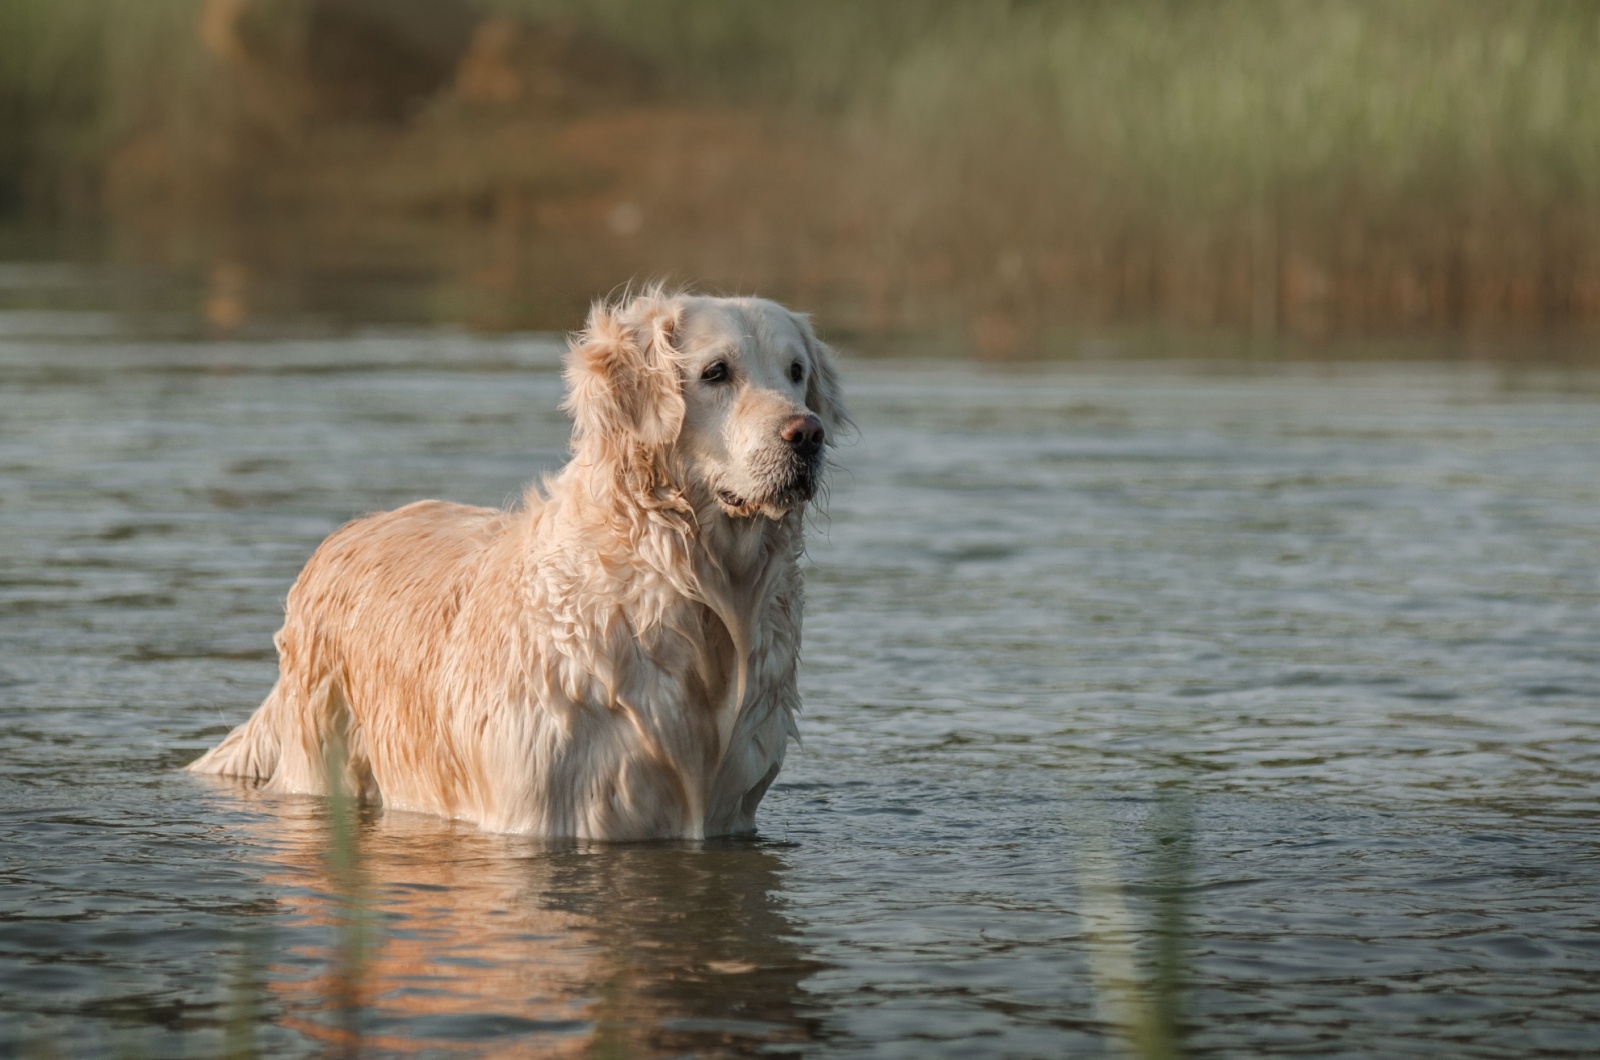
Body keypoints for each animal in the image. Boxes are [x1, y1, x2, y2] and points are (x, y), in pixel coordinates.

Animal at [188, 291, 851, 839]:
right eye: (716, 372)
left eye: (796, 372)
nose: (807, 434)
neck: (689, 589)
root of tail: (343, 534)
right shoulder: (542, 808)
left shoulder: (727, 811)